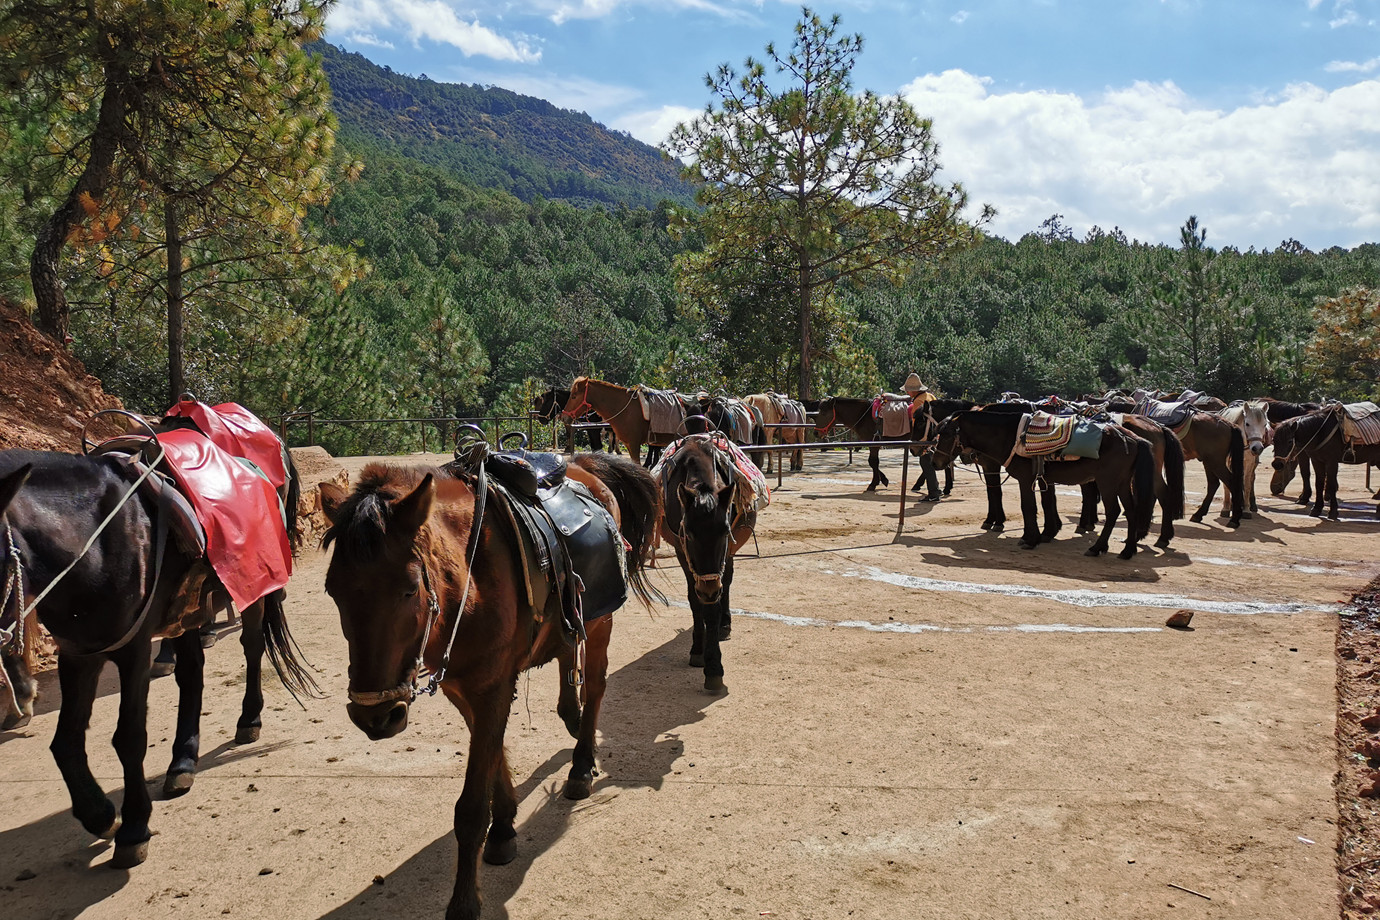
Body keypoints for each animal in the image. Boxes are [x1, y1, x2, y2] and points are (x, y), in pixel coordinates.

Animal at [0, 452, 314, 871]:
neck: (94, 543)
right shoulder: (79, 653)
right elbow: (65, 742)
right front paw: (100, 814)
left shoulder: (133, 651)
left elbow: (130, 737)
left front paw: (133, 827)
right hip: (187, 614)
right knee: (192, 673)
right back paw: (183, 761)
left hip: (253, 591)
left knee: (251, 647)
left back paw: (249, 719)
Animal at [320, 452, 659, 920]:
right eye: (333, 591)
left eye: (409, 589)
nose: (374, 716)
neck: (469, 579)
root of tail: (582, 463)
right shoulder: (464, 689)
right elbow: (494, 757)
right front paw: (503, 828)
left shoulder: (492, 688)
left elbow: (471, 807)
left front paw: (465, 901)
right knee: (568, 655)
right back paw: (571, 719)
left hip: (600, 622)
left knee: (596, 686)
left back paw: (581, 762)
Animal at [659, 427, 767, 695]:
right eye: (688, 533)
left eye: (724, 531)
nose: (708, 590)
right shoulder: (682, 552)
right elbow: (695, 601)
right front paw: (698, 649)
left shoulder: (724, 554)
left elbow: (713, 605)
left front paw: (714, 669)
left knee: (726, 583)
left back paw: (723, 625)